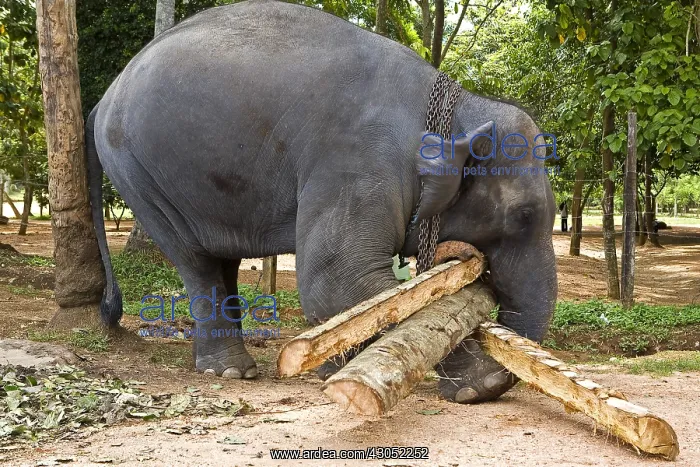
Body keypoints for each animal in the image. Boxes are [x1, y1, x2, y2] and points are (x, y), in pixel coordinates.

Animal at [86, 0, 558, 404]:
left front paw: (333, 372)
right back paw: (231, 372)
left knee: (223, 260)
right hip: (138, 175)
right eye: (524, 215)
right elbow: (336, 278)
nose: (479, 270)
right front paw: (480, 386)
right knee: (195, 260)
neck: (453, 105)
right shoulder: (356, 161)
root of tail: (102, 99)